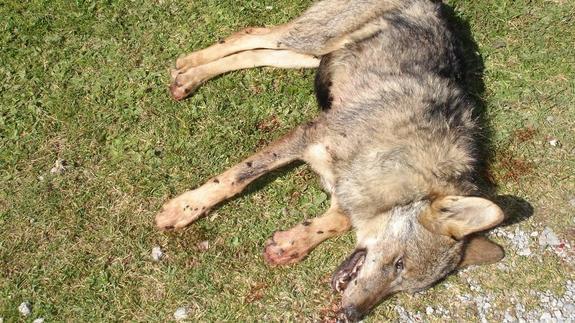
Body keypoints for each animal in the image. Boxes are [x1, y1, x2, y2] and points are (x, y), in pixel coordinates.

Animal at [156, 0, 504, 320]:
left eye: (404, 289)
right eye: (398, 263)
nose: (351, 314)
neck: (398, 160)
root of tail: (436, 3)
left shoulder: (347, 186)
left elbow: (338, 220)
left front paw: (293, 243)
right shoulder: (308, 136)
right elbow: (236, 178)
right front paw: (184, 208)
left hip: (309, 57)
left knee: (258, 51)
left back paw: (188, 76)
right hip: (312, 40)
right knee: (253, 33)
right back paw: (189, 69)